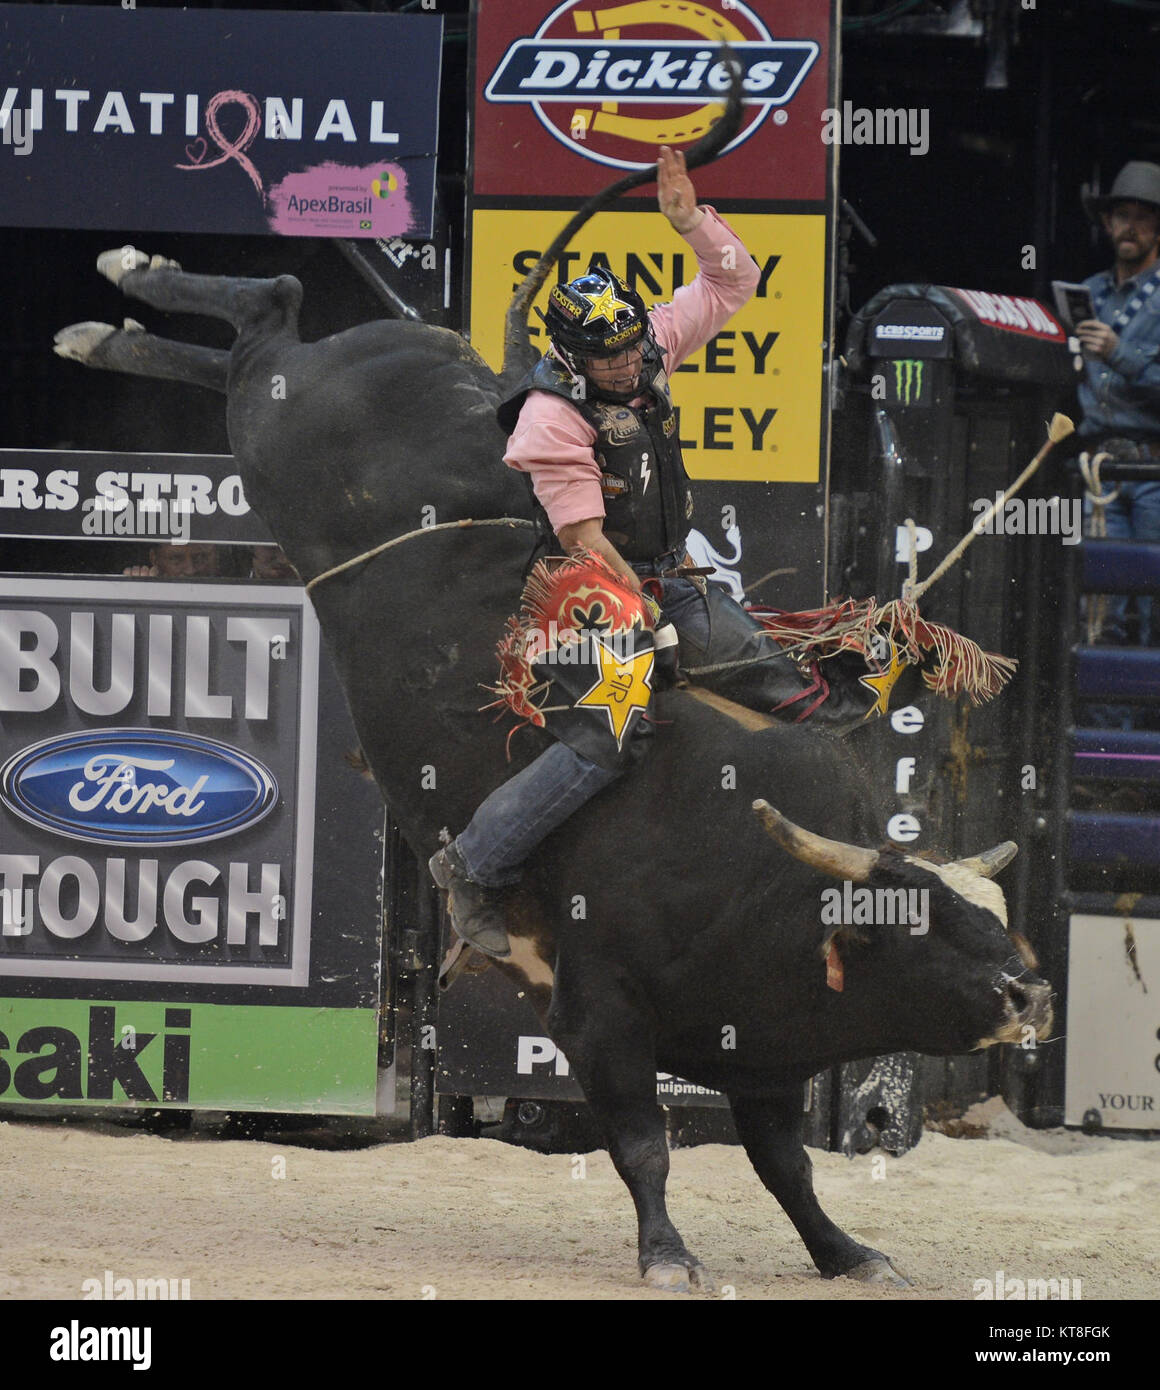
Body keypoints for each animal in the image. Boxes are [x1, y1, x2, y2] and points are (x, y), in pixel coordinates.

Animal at [52, 225, 1050, 1289]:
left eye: (989, 916)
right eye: (919, 923)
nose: (1030, 991)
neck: (758, 880)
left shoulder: (766, 1055)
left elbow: (787, 1167)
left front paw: (848, 1253)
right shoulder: (598, 1017)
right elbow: (646, 1144)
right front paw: (668, 1256)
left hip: (284, 417)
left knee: (255, 331)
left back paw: (107, 320)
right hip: (283, 421)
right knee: (266, 317)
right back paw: (118, 294)